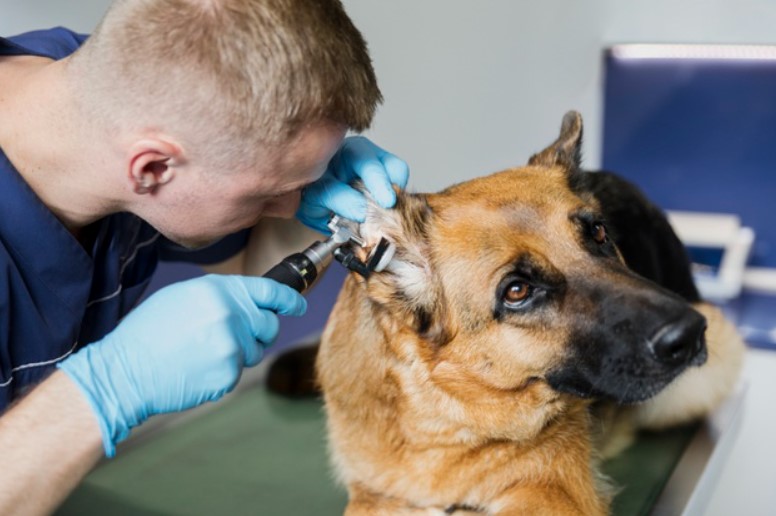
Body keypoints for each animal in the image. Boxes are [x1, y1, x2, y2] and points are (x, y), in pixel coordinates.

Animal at [310, 114, 744, 516]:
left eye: (600, 234)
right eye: (517, 291)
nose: (690, 333)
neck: (440, 413)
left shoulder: (554, 494)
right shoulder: (370, 497)